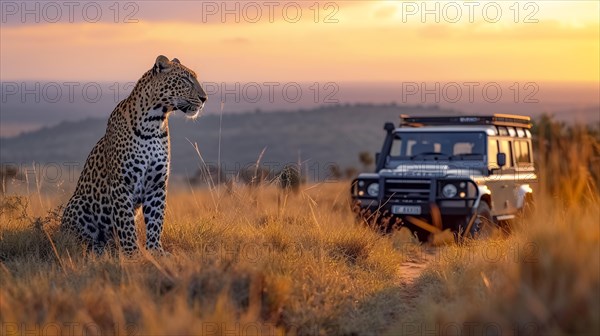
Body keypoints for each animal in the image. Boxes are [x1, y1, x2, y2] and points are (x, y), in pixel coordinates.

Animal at [61, 55, 206, 255]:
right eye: (185, 79)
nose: (204, 98)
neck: (154, 122)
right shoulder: (122, 183)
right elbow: (126, 224)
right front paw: (132, 254)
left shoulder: (157, 183)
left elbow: (156, 221)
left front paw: (155, 251)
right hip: (78, 203)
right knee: (80, 239)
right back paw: (97, 249)